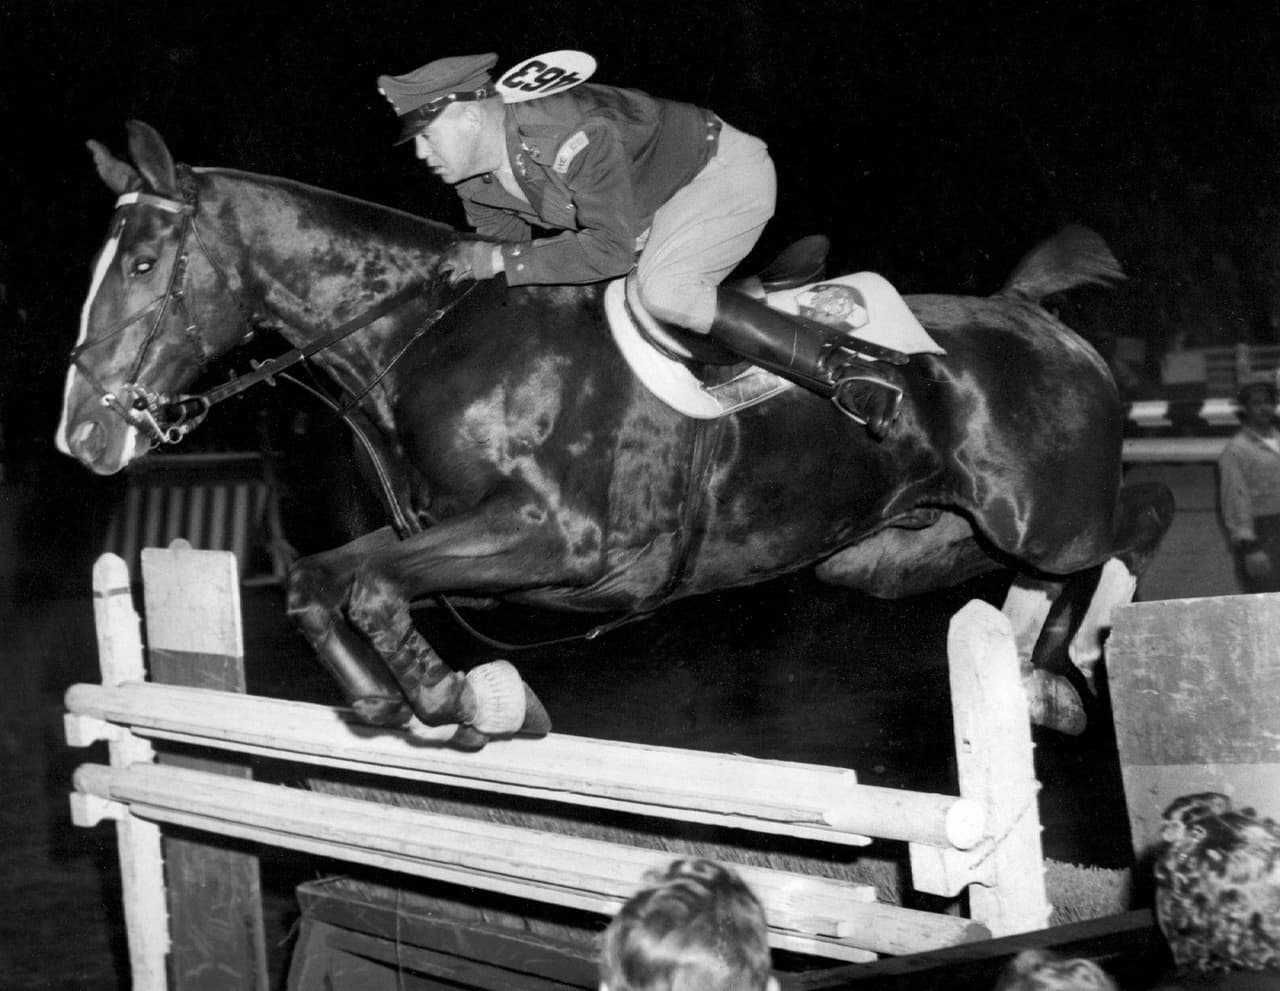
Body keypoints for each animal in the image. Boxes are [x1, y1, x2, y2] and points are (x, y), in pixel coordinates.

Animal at [58, 120, 1173, 750]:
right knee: (1020, 576)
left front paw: (471, 701)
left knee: (1134, 520)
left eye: (146, 264)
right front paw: (392, 706)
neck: (430, 334)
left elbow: (369, 586)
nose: (82, 436)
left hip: (1041, 513)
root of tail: (1030, 311)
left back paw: (1070, 662)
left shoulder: (559, 539)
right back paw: (1029, 664)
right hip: (886, 556)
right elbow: (322, 579)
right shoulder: (456, 541)